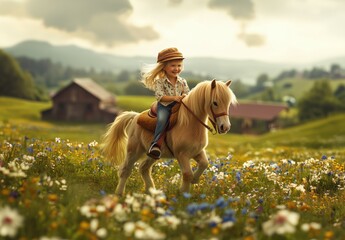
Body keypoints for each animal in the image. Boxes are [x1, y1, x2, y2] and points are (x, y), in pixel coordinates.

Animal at [101, 79, 236, 196]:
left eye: (228, 103)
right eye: (215, 102)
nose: (225, 127)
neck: (189, 123)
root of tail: (135, 117)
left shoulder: (197, 152)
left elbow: (204, 164)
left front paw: (194, 180)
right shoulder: (182, 155)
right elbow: (187, 174)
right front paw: (183, 194)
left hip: (152, 154)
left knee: (144, 168)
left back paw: (152, 192)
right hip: (134, 151)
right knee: (126, 170)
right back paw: (119, 193)